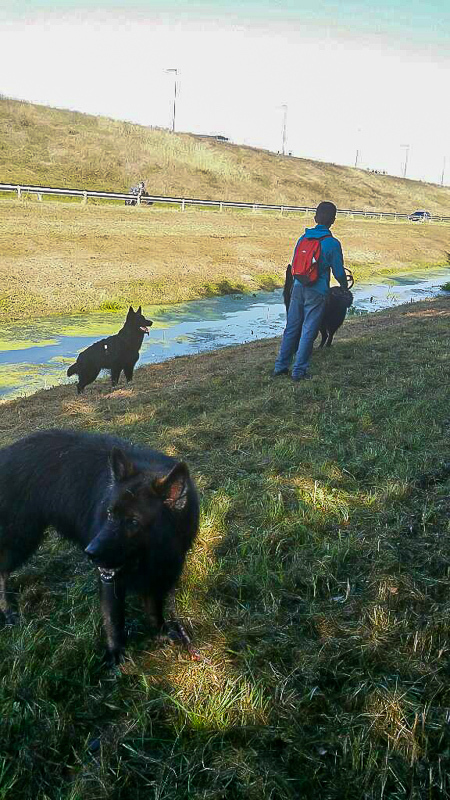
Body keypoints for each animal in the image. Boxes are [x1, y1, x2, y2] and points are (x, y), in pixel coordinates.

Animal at [0, 428, 200, 664]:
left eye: (133, 522)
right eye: (110, 514)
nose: (90, 553)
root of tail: (6, 453)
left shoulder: (159, 575)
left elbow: (154, 609)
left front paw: (161, 632)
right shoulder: (111, 582)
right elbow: (114, 620)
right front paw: (115, 655)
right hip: (21, 540)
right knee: (2, 571)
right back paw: (7, 609)